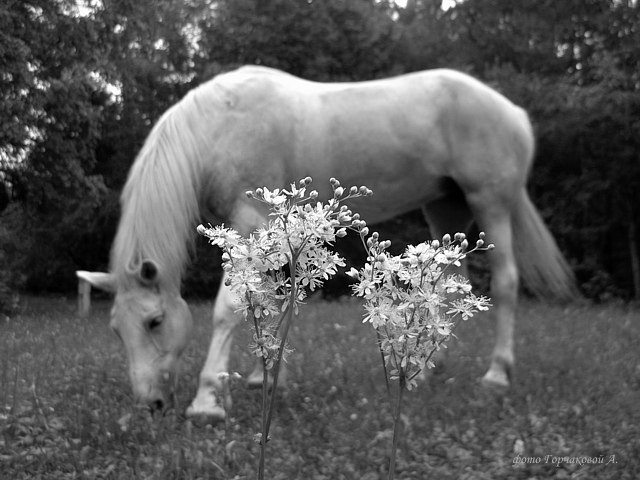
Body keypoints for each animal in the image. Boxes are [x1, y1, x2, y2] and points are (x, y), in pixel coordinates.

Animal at [77, 65, 576, 422]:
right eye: (116, 330)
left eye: (156, 322)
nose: (152, 406)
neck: (217, 127)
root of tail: (514, 111)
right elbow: (274, 296)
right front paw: (264, 376)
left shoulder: (249, 217)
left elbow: (229, 308)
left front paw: (208, 401)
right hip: (446, 208)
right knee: (449, 282)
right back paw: (428, 365)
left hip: (491, 202)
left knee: (506, 283)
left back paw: (496, 375)